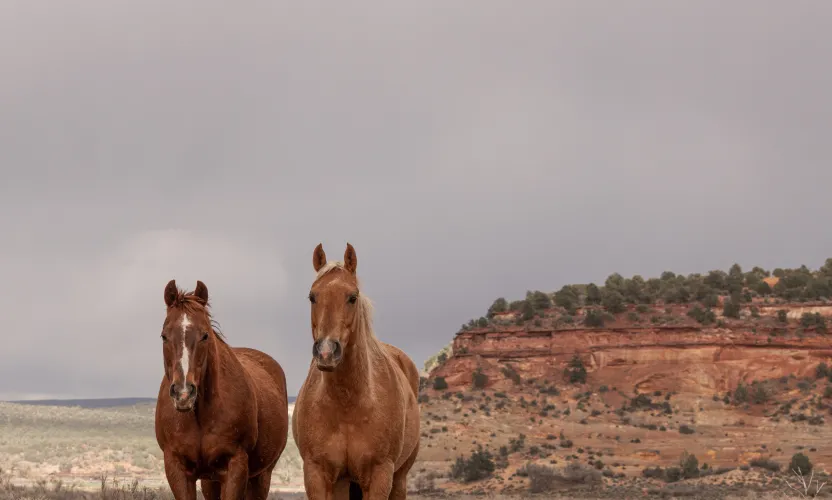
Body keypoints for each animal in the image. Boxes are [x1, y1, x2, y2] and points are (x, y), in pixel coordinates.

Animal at [156, 280, 290, 500]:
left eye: (205, 335)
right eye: (164, 336)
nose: (183, 394)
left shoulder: (235, 466)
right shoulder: (177, 469)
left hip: (261, 476)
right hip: (210, 481)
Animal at [294, 244, 422, 498]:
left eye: (352, 297)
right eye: (312, 297)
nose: (326, 352)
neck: (347, 403)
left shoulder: (380, 475)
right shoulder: (317, 474)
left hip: (399, 478)